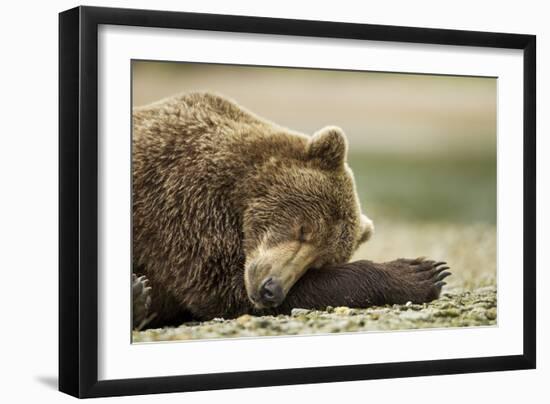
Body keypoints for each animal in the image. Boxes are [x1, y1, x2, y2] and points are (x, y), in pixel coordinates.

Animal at [134, 91, 452, 328]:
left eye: (318, 262)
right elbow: (219, 286)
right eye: (303, 229)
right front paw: (420, 272)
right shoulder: (183, 207)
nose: (271, 289)